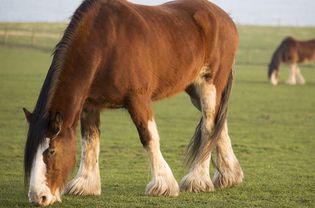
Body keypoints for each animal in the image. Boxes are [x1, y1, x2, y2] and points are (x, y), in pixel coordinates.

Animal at [22, 0, 244, 206]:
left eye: (51, 151)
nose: (38, 197)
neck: (105, 43)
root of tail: (225, 18)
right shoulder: (90, 105)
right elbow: (90, 142)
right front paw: (86, 185)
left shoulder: (138, 99)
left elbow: (149, 137)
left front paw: (163, 185)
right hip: (194, 89)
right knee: (218, 124)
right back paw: (228, 176)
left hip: (209, 85)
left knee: (208, 127)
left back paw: (198, 180)